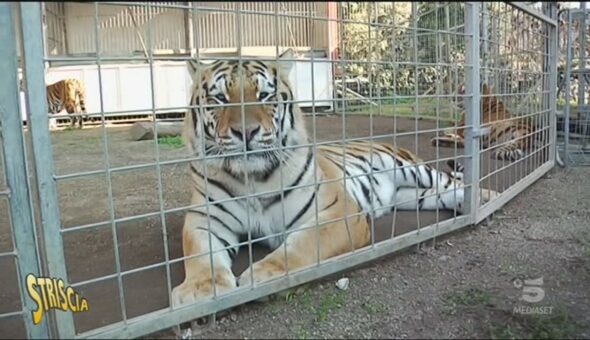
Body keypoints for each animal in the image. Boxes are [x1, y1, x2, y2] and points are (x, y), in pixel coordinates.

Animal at [172, 49, 504, 306]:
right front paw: (199, 290)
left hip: (413, 171)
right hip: (414, 197)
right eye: (219, 98)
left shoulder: (337, 211)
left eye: (265, 95)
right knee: (450, 194)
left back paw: (488, 200)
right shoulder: (205, 218)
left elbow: (303, 244)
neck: (252, 177)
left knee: (457, 182)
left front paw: (263, 274)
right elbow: (200, 253)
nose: (246, 132)